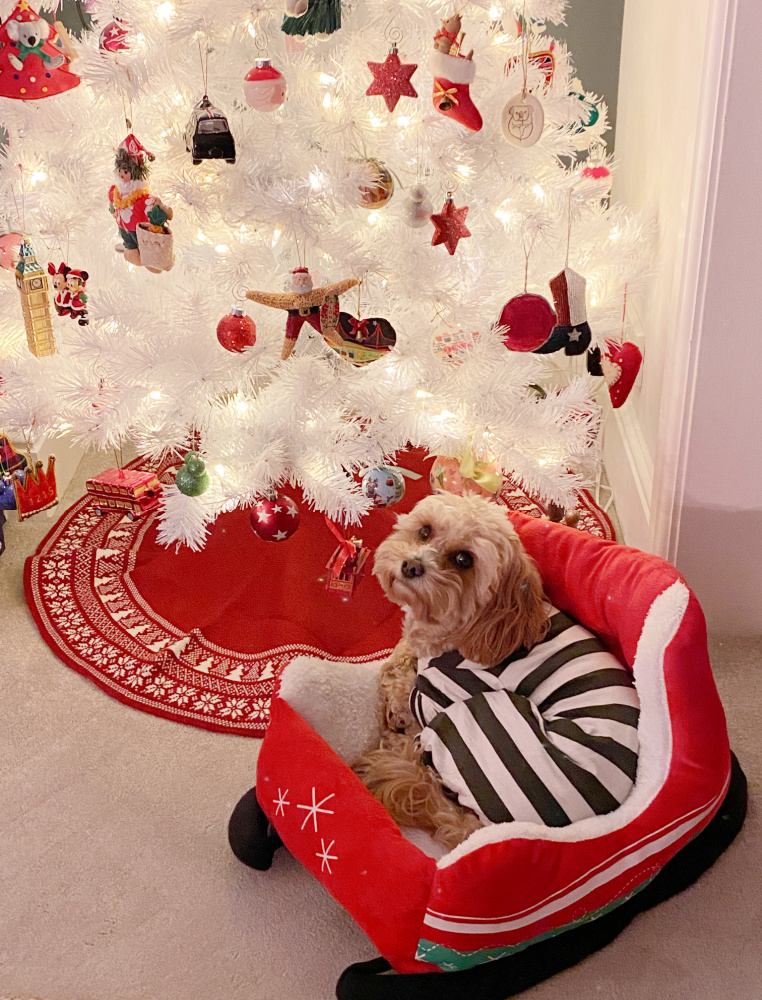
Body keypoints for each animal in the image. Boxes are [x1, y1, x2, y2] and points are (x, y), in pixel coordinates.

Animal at [350, 492, 548, 852]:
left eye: (463, 559)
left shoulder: (437, 694)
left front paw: (396, 702)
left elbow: (403, 685)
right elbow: (403, 652)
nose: (411, 566)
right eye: (425, 531)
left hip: (471, 718)